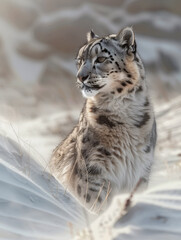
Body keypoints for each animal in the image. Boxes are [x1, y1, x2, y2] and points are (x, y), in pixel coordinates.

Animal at [49, 26, 157, 214]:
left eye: (100, 58)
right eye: (79, 61)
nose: (80, 77)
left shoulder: (141, 171)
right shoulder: (93, 171)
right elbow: (96, 204)